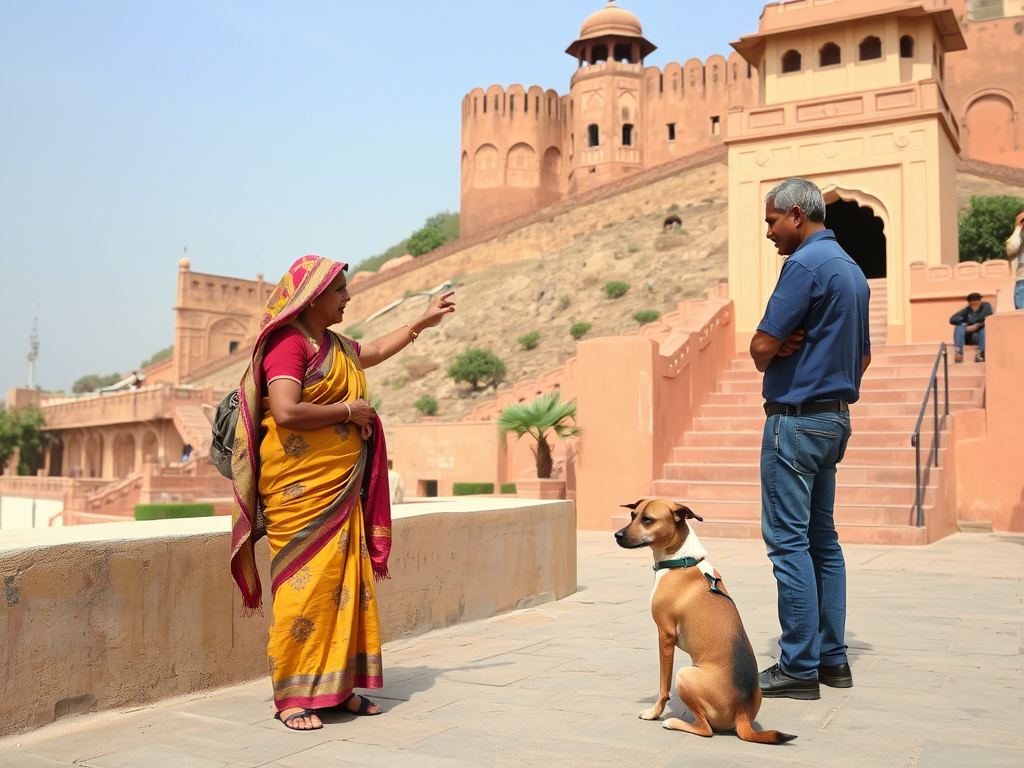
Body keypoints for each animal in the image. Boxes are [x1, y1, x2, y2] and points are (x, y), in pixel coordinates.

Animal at [610, 499, 794, 745]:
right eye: (633, 515)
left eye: (647, 519)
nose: (617, 535)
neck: (681, 560)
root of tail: (742, 713)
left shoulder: (665, 636)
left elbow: (663, 686)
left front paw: (654, 712)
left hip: (684, 675)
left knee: (706, 729)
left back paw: (674, 722)